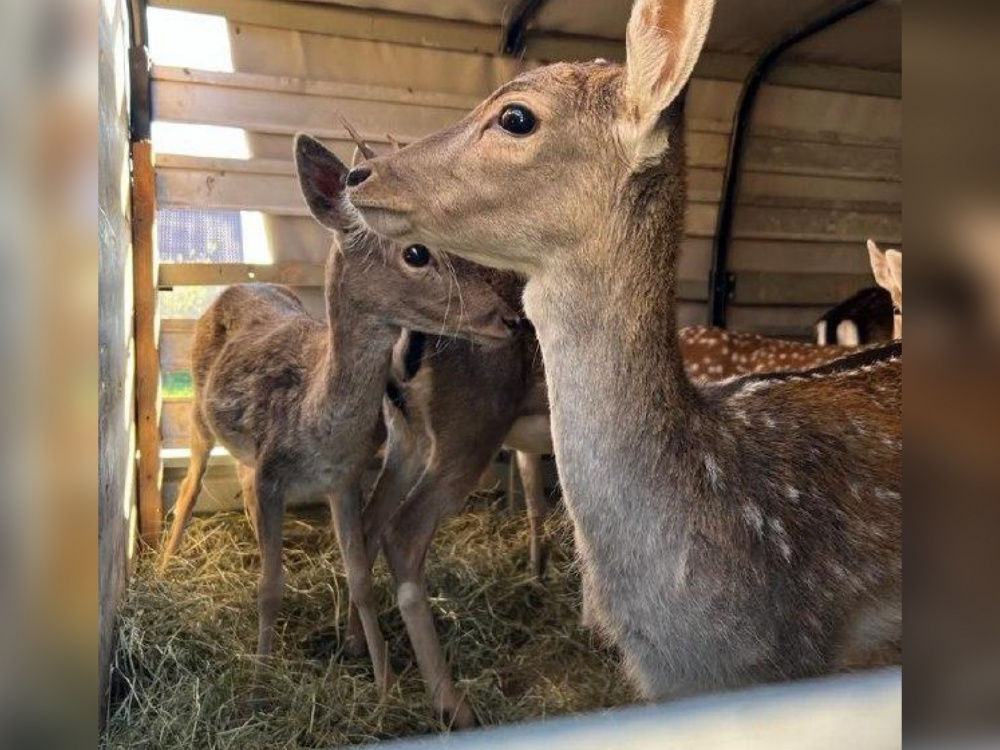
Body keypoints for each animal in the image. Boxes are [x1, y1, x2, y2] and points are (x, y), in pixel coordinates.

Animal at [157, 137, 520, 692]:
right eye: (416, 251)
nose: (508, 317)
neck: (317, 425)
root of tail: (234, 287)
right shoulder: (274, 475)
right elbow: (270, 586)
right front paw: (259, 677)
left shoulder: (345, 480)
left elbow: (361, 578)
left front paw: (385, 681)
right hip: (198, 415)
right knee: (190, 487)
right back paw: (164, 564)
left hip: (244, 449)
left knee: (238, 479)